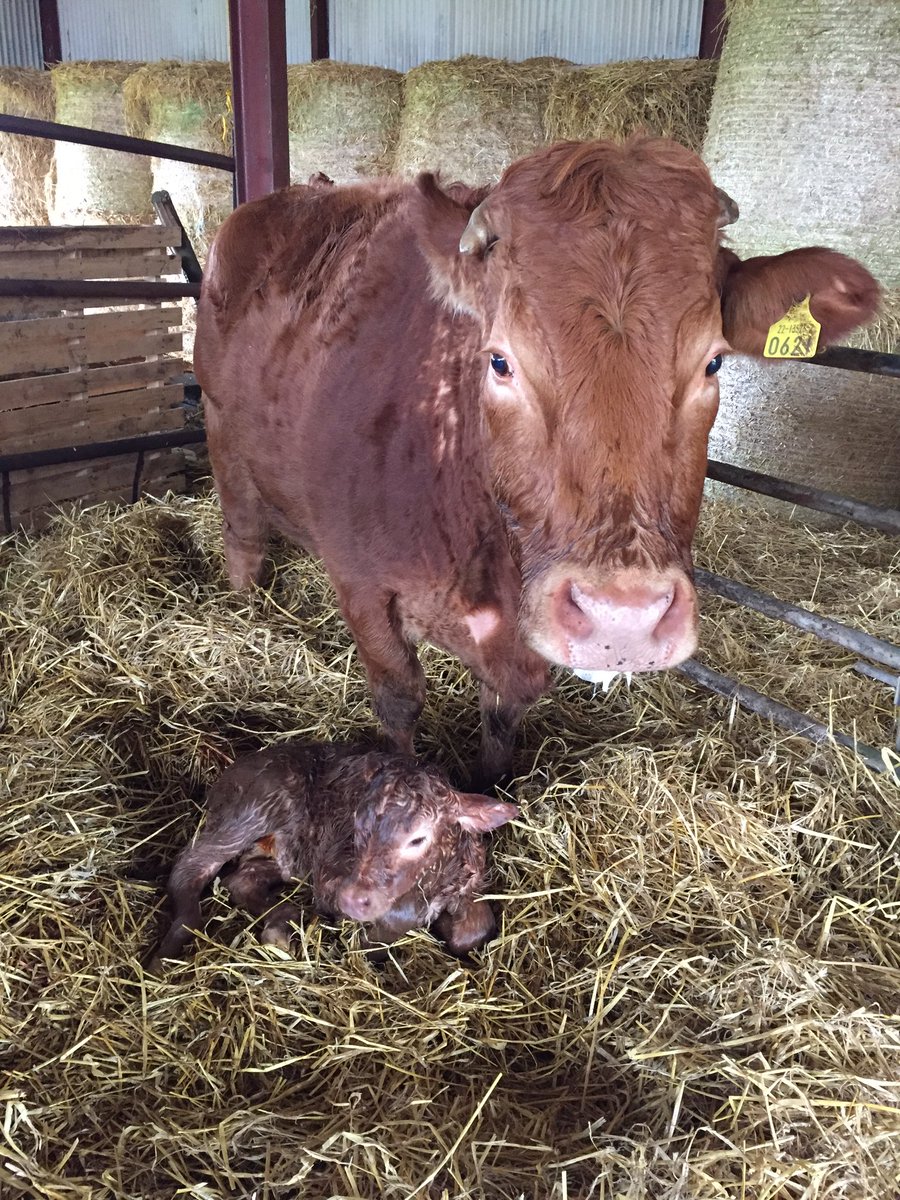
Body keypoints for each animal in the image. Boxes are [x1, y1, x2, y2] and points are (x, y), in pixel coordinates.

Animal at [195, 137, 879, 785]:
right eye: (500, 360)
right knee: (244, 539)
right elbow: (398, 702)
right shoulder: (361, 584)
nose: (623, 620)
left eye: (713, 362)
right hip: (222, 430)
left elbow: (502, 718)